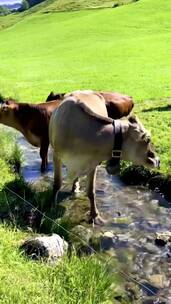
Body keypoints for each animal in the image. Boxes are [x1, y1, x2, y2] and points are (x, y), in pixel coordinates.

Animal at [49, 90, 160, 223]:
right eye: (147, 139)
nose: (157, 160)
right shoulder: (56, 156)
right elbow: (57, 184)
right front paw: (52, 207)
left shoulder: (92, 162)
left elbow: (91, 191)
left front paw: (95, 215)